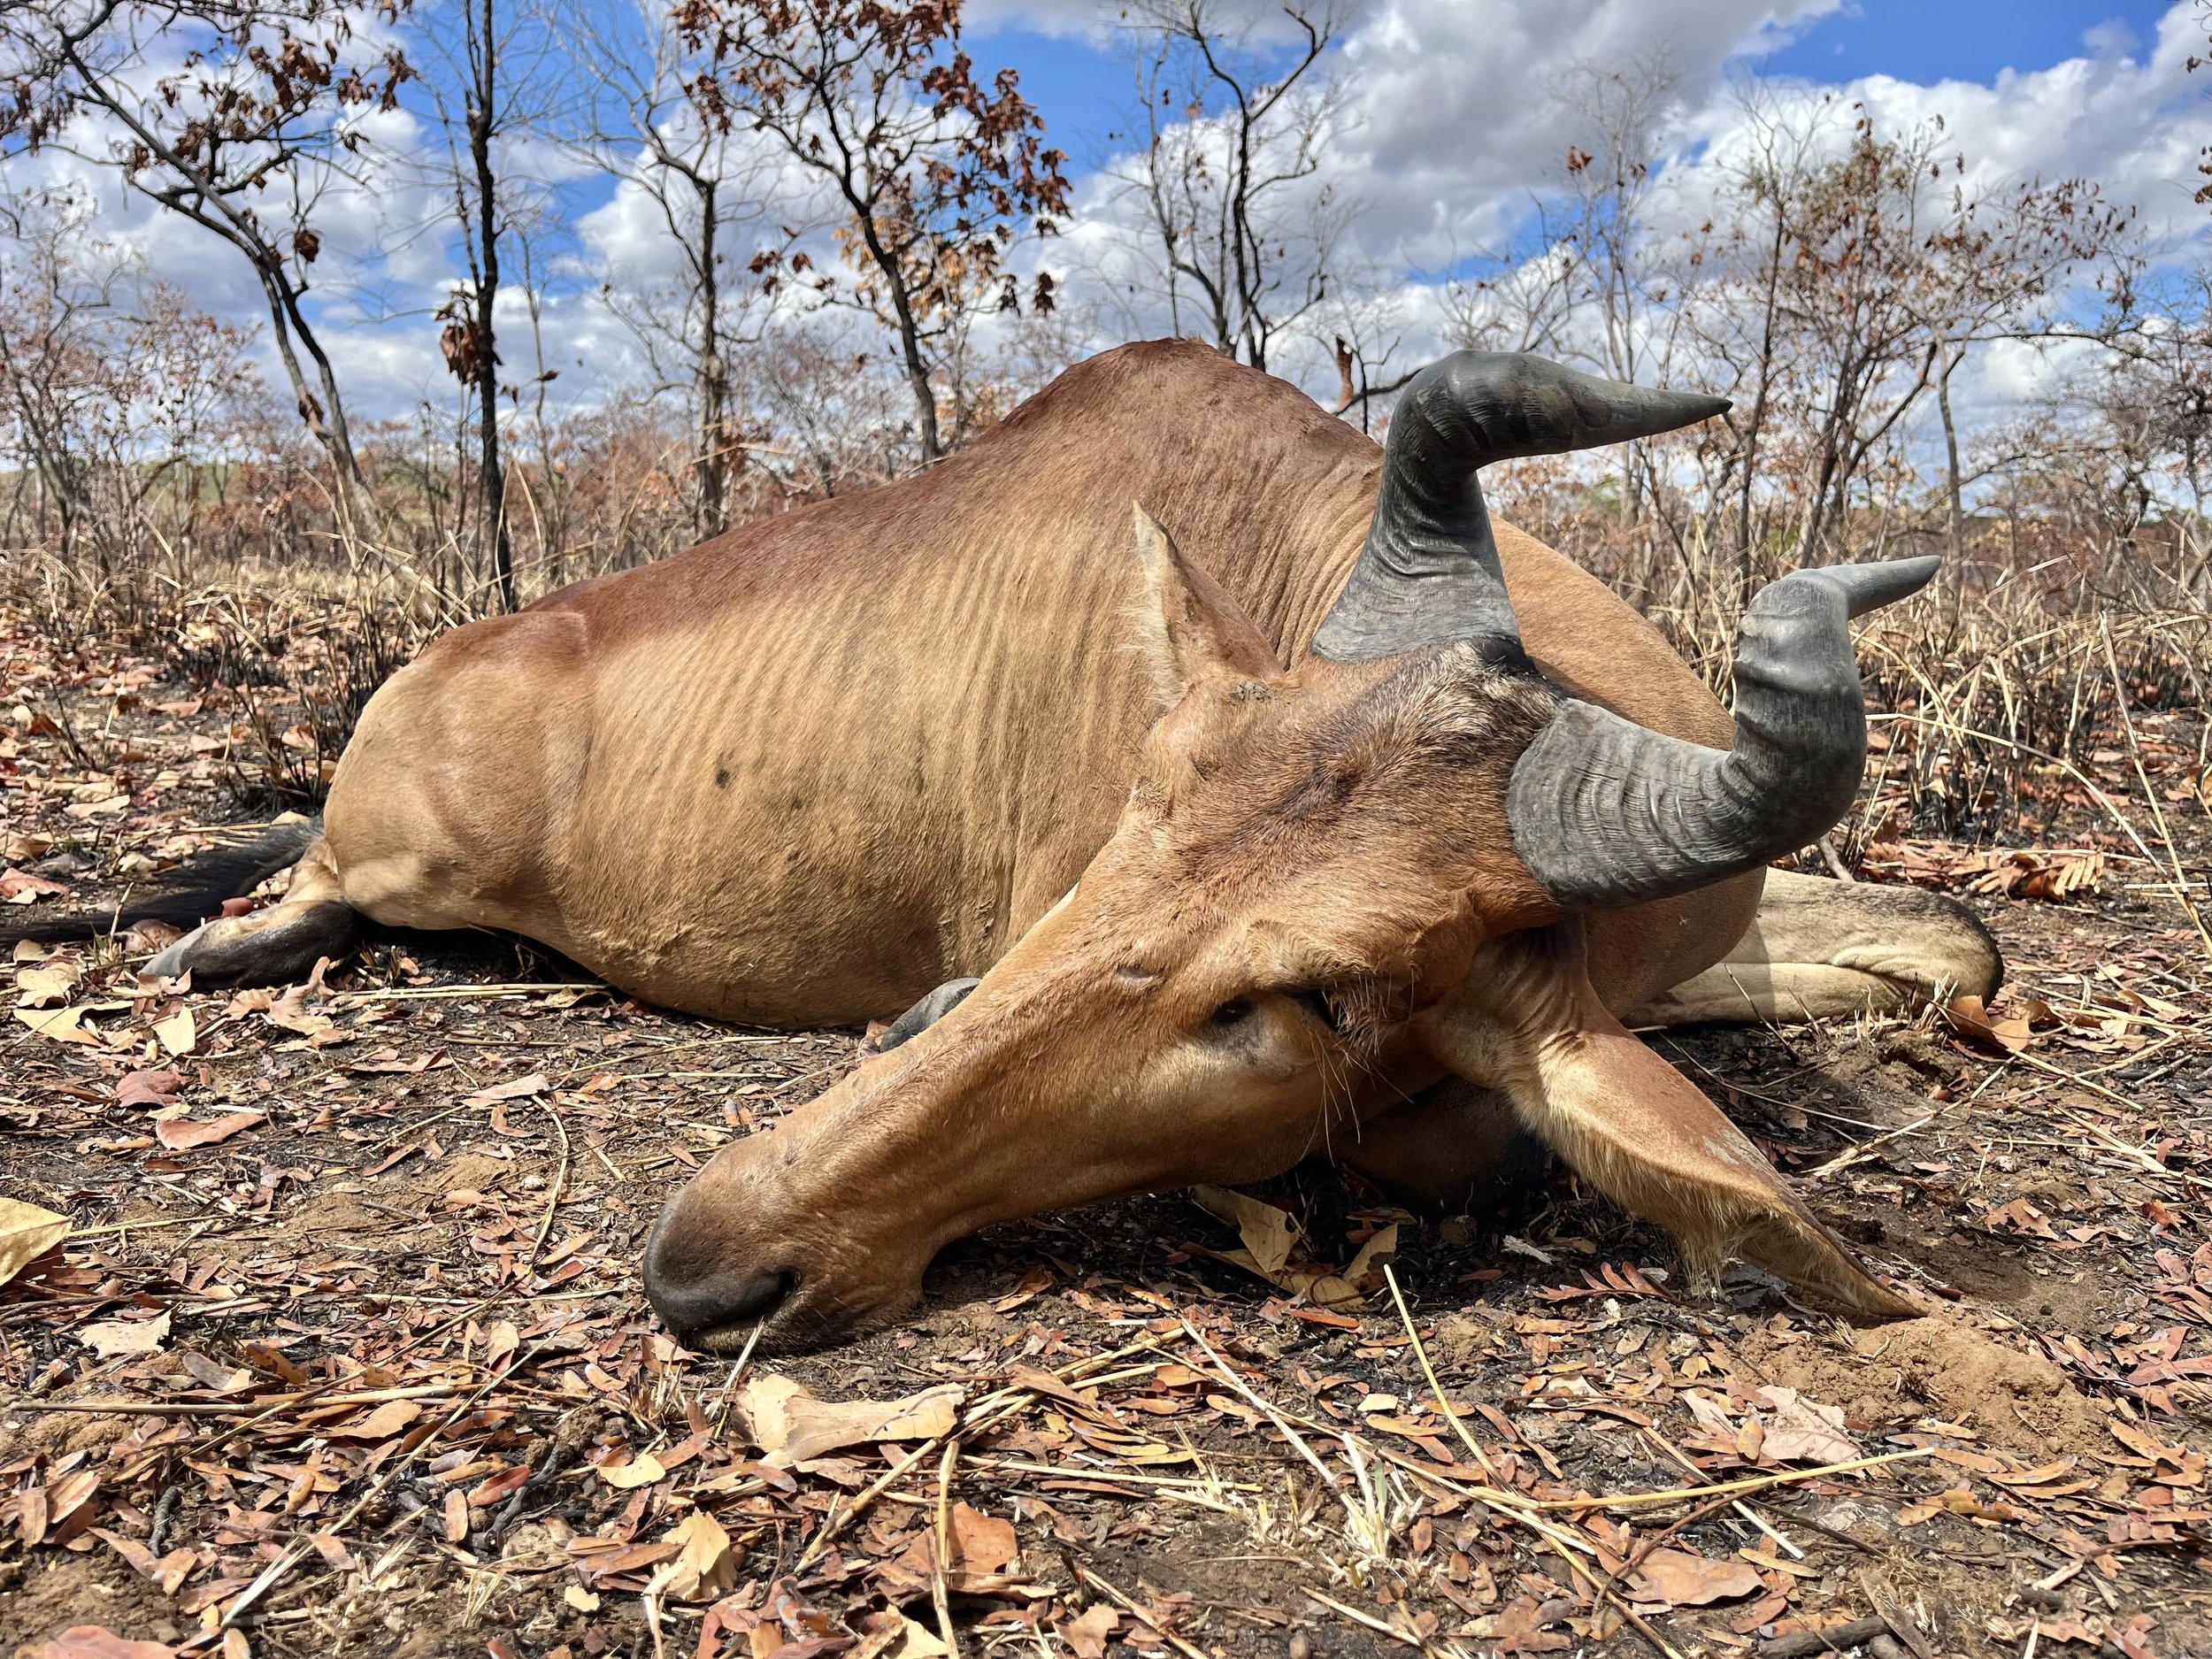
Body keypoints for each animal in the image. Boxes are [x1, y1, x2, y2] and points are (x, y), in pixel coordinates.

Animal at [14, 342, 2001, 1351]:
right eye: (1141, 796)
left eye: (1310, 998)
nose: (711, 1258)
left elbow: (1954, 947)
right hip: (407, 863)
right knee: (314, 884)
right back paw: (211, 940)